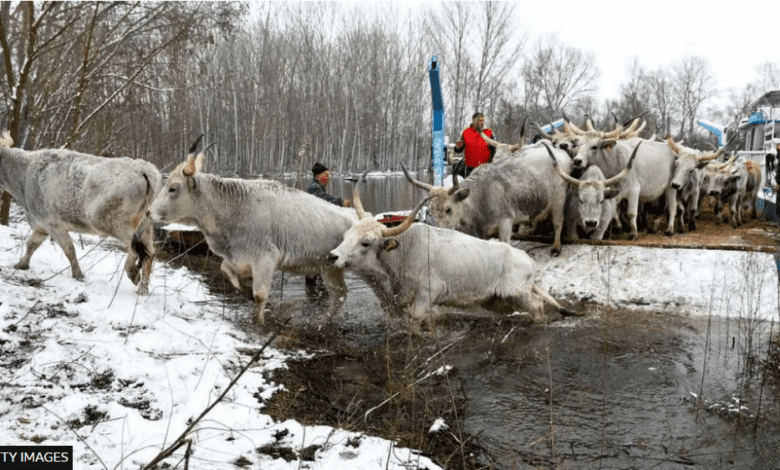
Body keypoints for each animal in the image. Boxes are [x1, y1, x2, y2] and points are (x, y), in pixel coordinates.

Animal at [0, 129, 162, 290]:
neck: (24, 175)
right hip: (145, 226)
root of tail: (143, 168)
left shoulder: (54, 224)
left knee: (134, 249)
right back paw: (143, 289)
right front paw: (21, 264)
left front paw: (78, 274)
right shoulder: (41, 225)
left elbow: (69, 249)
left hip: (117, 224)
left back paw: (132, 273)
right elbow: (31, 244)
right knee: (149, 255)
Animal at [326, 174, 576, 328]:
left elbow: (416, 319)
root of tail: (525, 259)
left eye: (366, 243)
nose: (332, 256)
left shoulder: (429, 293)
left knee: (537, 305)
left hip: (517, 294)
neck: (403, 253)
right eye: (346, 236)